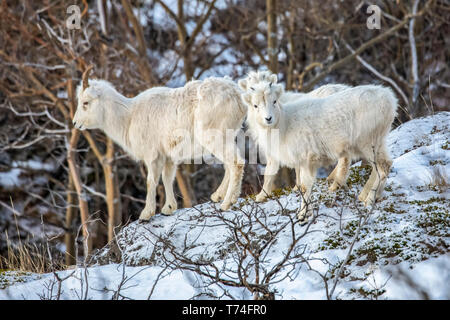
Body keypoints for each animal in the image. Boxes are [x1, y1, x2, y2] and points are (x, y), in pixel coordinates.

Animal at [73, 67, 246, 222]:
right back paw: (217, 197)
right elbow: (167, 178)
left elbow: (151, 181)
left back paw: (226, 204)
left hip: (214, 138)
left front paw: (146, 214)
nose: (75, 123)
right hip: (225, 138)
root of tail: (237, 96)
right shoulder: (168, 157)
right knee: (229, 165)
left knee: (235, 163)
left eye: (85, 102)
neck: (129, 117)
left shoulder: (153, 156)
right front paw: (168, 209)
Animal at [244, 80, 400, 222]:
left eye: (274, 101)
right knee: (384, 165)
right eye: (255, 105)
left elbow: (305, 187)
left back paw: (369, 200)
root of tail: (389, 99)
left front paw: (302, 215)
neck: (285, 125)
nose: (268, 118)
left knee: (382, 168)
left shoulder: (308, 161)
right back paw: (368, 196)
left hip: (368, 144)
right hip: (378, 143)